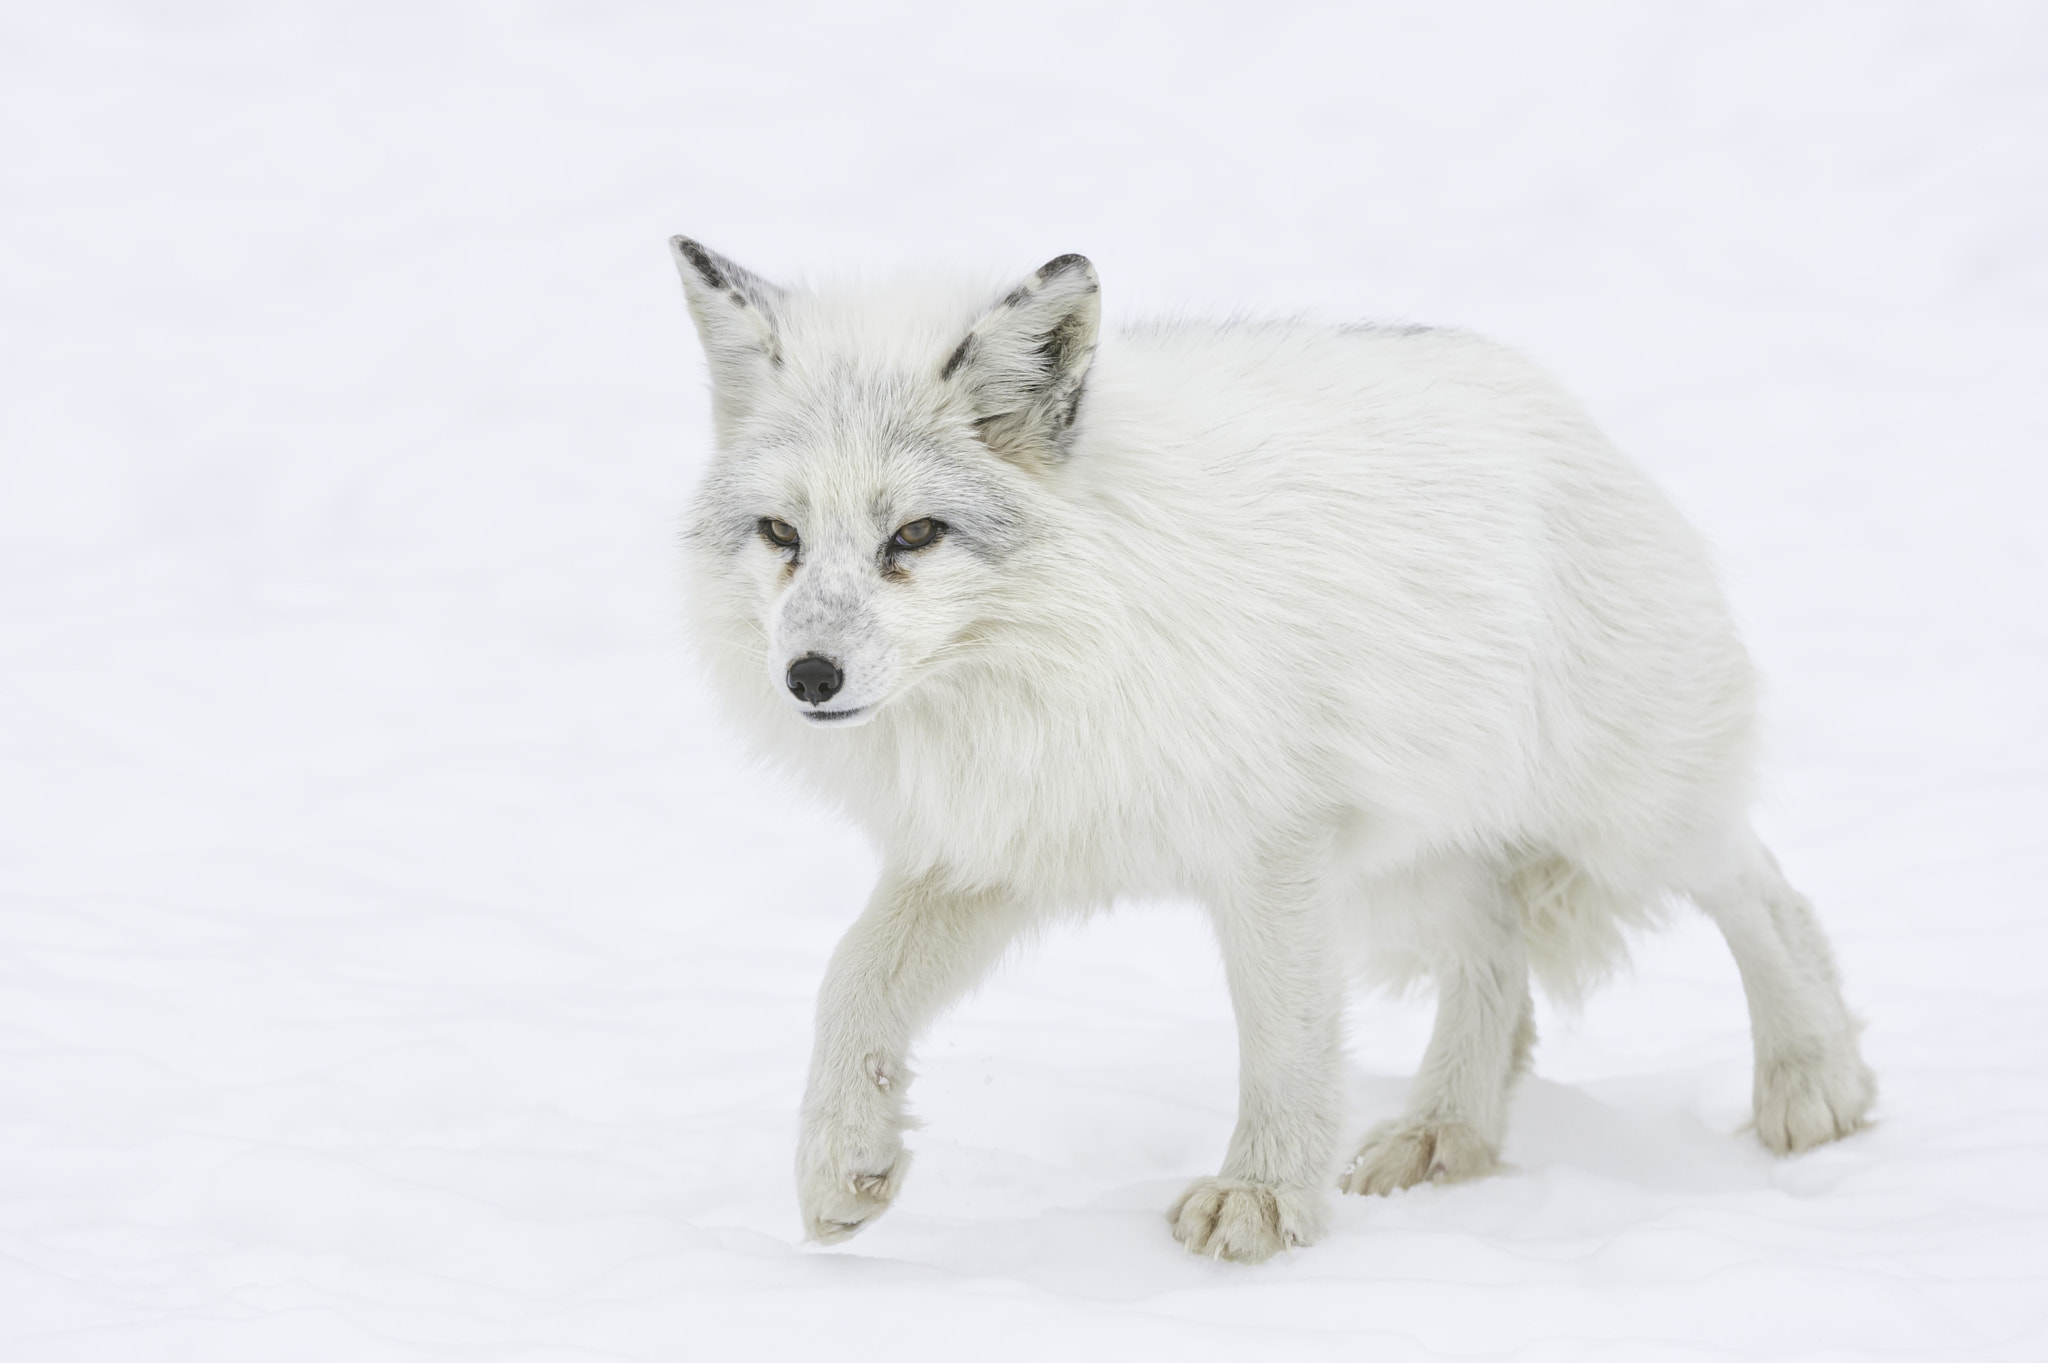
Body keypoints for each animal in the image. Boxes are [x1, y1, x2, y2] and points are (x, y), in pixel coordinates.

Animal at [667, 236, 1875, 1260]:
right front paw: (842, 1163)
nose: (807, 678)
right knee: (1496, 956)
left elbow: (1282, 1043)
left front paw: (1261, 1199)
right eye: (781, 535)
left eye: (914, 534)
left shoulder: (1269, 850)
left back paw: (1814, 1085)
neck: (1068, 640)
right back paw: (1446, 1135)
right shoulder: (1003, 844)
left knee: (1767, 892)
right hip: (1403, 871)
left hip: (1621, 816)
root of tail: (1564, 411)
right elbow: (850, 981)